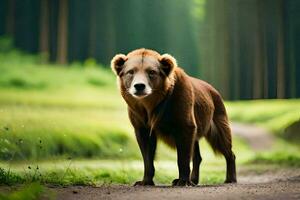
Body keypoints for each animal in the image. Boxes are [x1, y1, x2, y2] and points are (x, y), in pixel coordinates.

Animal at [110, 48, 237, 186]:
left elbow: (183, 152)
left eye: (151, 72)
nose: (139, 86)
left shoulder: (181, 111)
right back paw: (194, 179)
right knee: (197, 153)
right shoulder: (140, 119)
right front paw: (144, 181)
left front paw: (182, 180)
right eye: (131, 71)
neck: (151, 105)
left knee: (223, 141)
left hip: (216, 116)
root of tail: (213, 89)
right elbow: (147, 152)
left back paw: (230, 178)